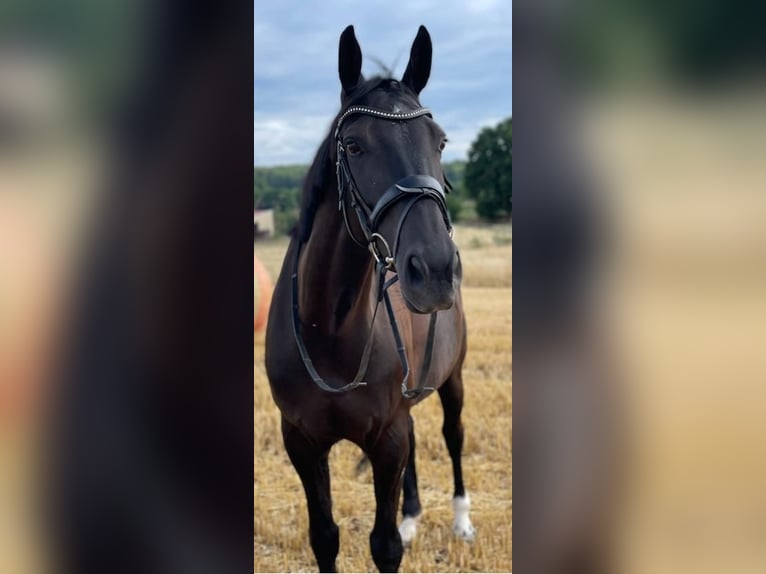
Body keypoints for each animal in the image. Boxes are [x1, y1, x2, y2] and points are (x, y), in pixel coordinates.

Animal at [268, 24, 476, 572]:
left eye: (440, 141)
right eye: (355, 146)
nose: (437, 271)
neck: (330, 330)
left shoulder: (386, 438)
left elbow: (384, 547)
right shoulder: (302, 442)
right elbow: (324, 536)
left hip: (453, 379)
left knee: (452, 436)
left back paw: (461, 520)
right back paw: (412, 516)